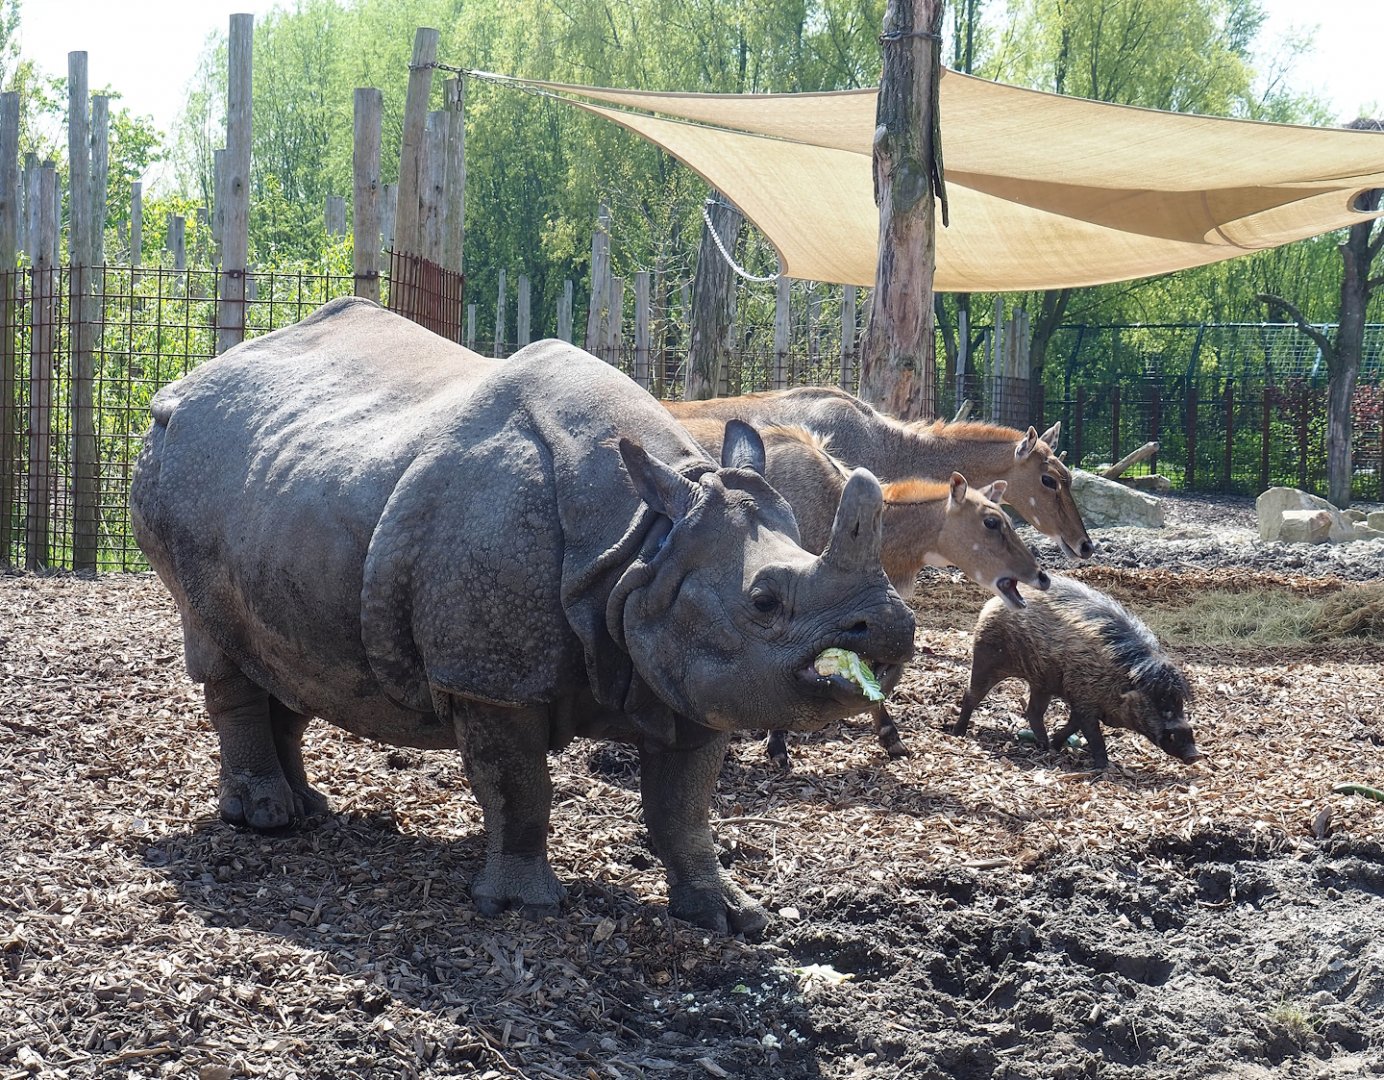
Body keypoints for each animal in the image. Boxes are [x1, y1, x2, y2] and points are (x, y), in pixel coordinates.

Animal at [131, 298, 916, 935]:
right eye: (765, 601)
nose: (888, 627)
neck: (646, 545)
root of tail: (182, 386)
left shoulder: (691, 670)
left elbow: (685, 807)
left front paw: (730, 916)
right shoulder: (489, 676)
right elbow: (520, 786)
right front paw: (521, 909)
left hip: (283, 494)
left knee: (287, 657)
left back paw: (308, 809)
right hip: (177, 461)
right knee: (220, 643)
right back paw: (266, 821)